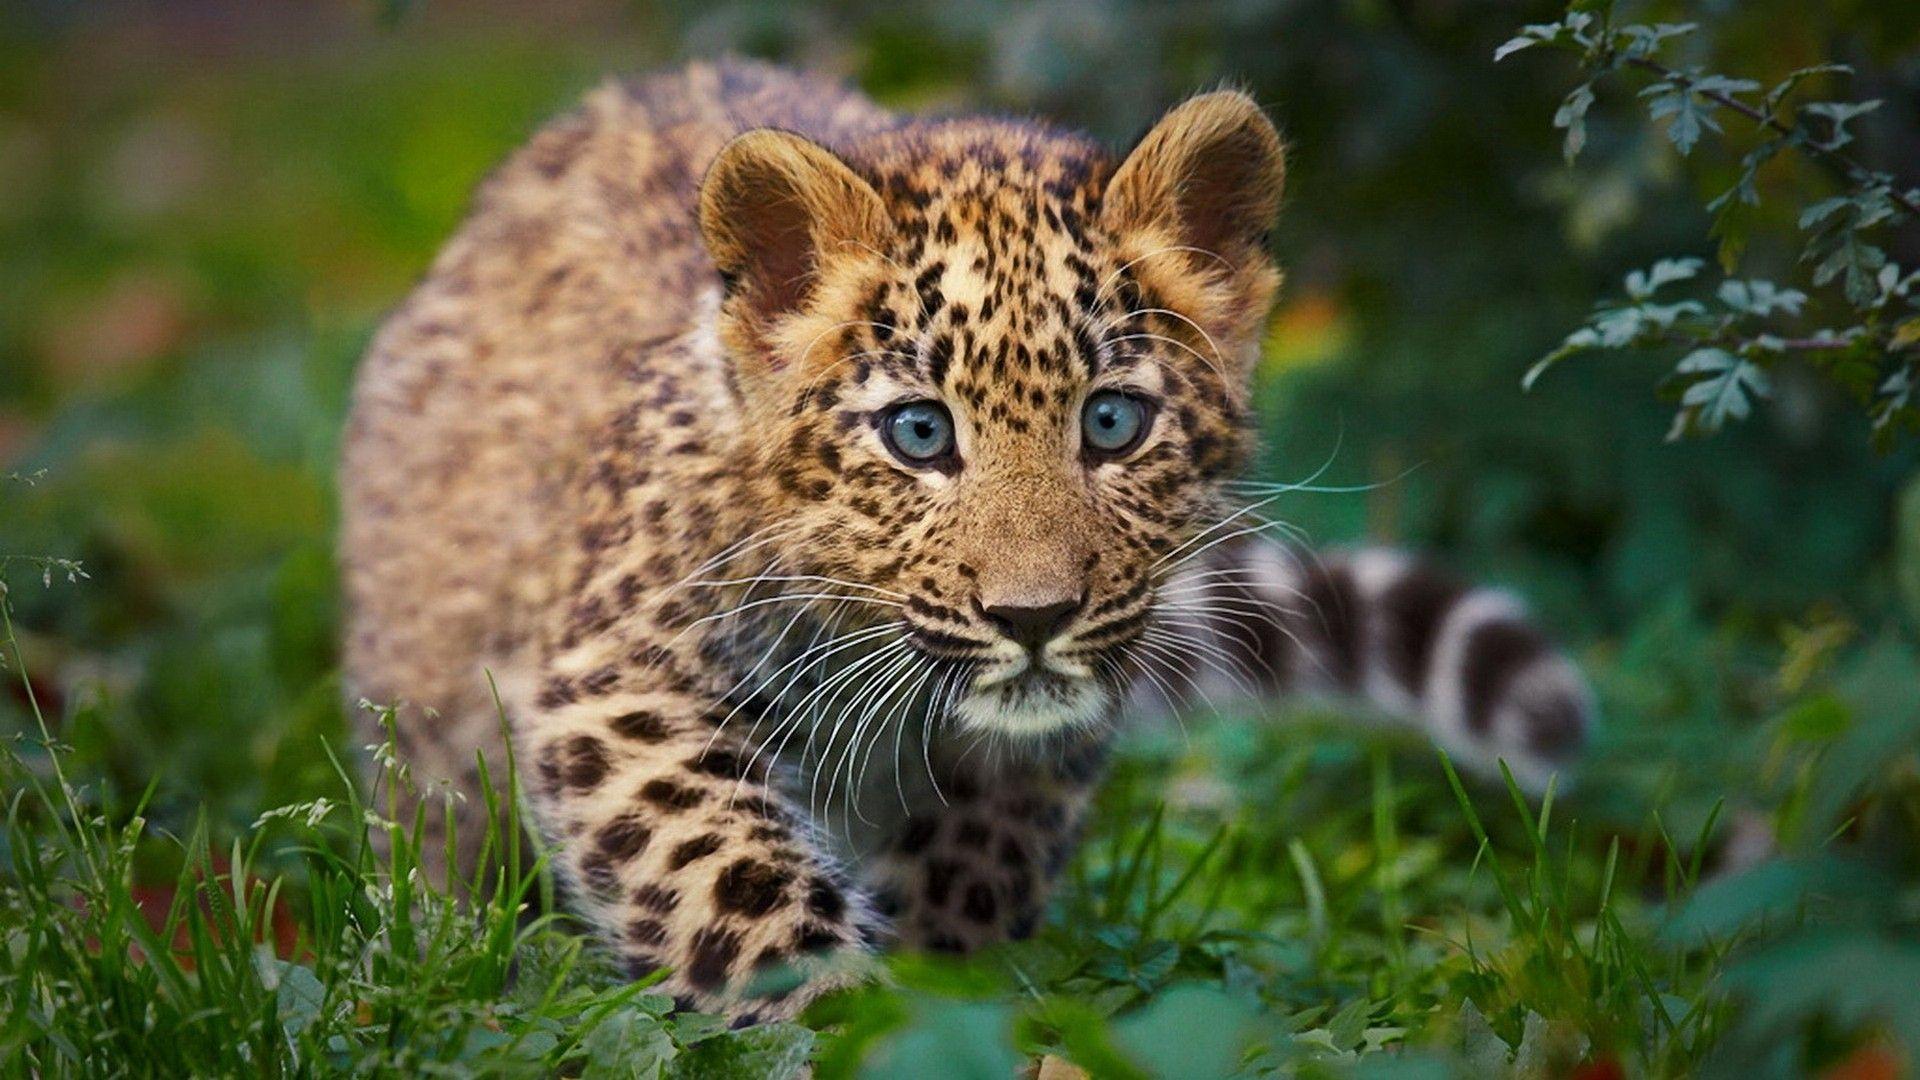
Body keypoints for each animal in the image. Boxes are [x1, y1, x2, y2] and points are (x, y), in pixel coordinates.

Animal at [339, 60, 1593, 1023]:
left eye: (1112, 422)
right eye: (920, 432)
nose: (1033, 619)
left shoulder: (1042, 737)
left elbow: (981, 862)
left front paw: (948, 999)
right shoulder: (620, 684)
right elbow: (726, 881)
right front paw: (840, 1018)